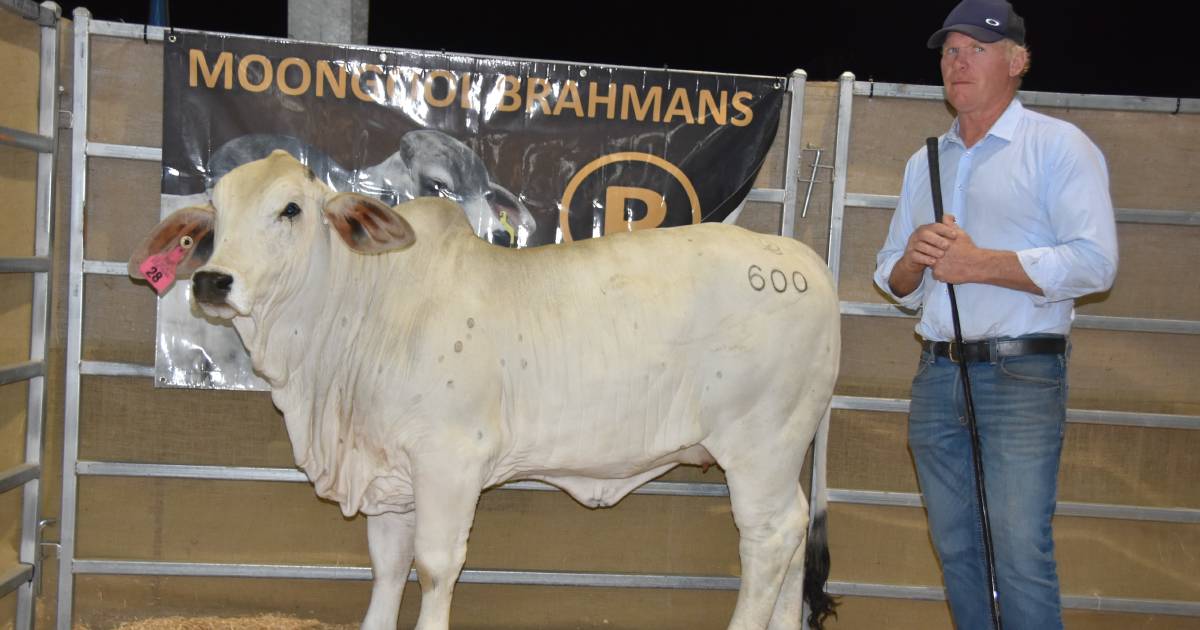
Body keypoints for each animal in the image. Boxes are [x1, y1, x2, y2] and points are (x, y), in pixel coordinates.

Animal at [129, 150, 844, 624]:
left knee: (769, 539)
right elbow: (388, 568)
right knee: (789, 538)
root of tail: (801, 261)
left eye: (291, 209)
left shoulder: (450, 462)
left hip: (757, 448)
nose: (211, 281)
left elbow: (436, 565)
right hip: (782, 454)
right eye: (215, 210)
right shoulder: (391, 476)